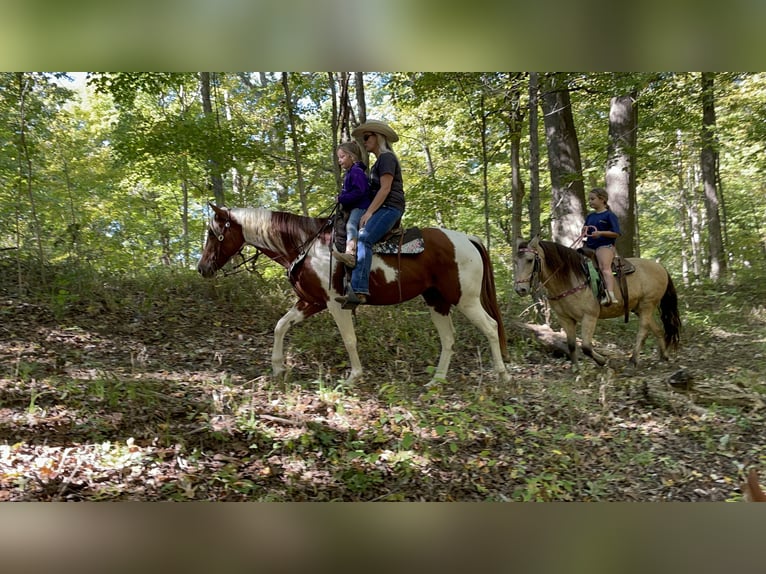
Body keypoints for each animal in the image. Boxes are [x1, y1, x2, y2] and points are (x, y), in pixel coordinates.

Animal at [198, 207, 512, 388]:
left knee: (491, 327)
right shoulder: (311, 302)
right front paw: (277, 367)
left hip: (465, 299)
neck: (306, 246)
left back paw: (502, 374)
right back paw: (436, 380)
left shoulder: (336, 303)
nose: (202, 268)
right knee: (448, 338)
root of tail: (468, 239)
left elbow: (349, 339)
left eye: (214, 233)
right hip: (437, 301)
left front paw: (353, 377)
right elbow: (280, 326)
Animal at [512, 236, 680, 372]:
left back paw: (632, 362)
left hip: (647, 304)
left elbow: (586, 346)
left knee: (643, 332)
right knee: (658, 329)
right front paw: (575, 369)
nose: (521, 289)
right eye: (515, 261)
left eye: (530, 260)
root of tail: (661, 267)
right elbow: (571, 344)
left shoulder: (589, 316)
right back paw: (664, 357)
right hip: (639, 308)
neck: (569, 279)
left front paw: (601, 361)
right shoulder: (565, 319)